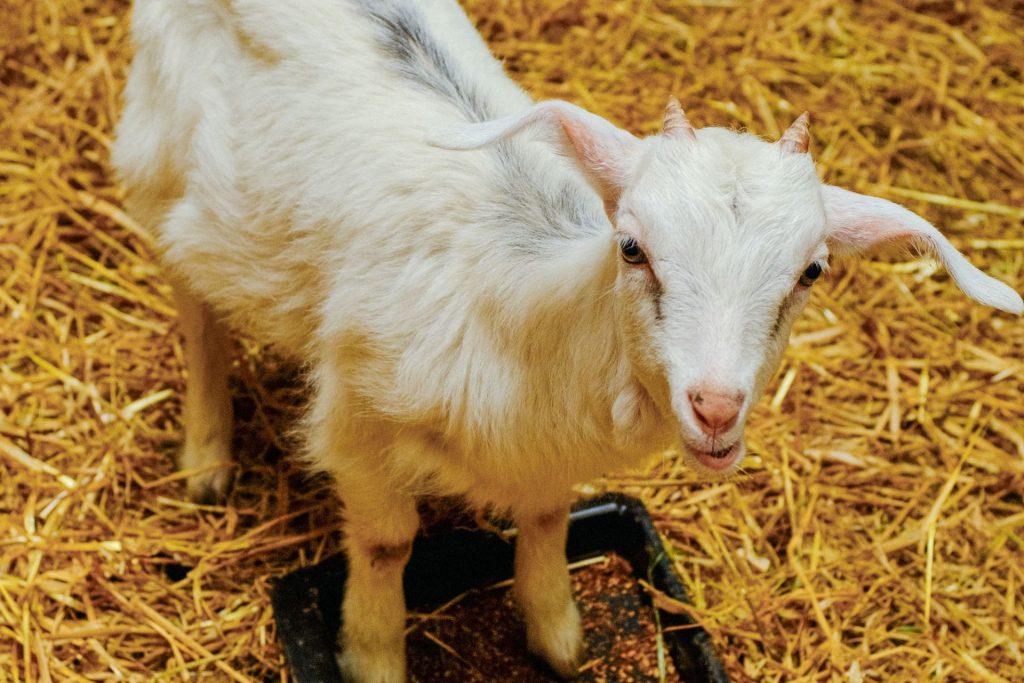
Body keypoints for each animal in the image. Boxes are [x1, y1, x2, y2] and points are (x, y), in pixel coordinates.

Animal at [113, 1, 1023, 681]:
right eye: (632, 247)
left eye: (813, 270)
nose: (716, 406)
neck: (526, 310)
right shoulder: (359, 414)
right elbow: (385, 540)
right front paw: (373, 655)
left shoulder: (547, 444)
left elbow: (548, 514)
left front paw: (557, 631)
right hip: (163, 168)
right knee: (196, 308)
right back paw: (207, 454)